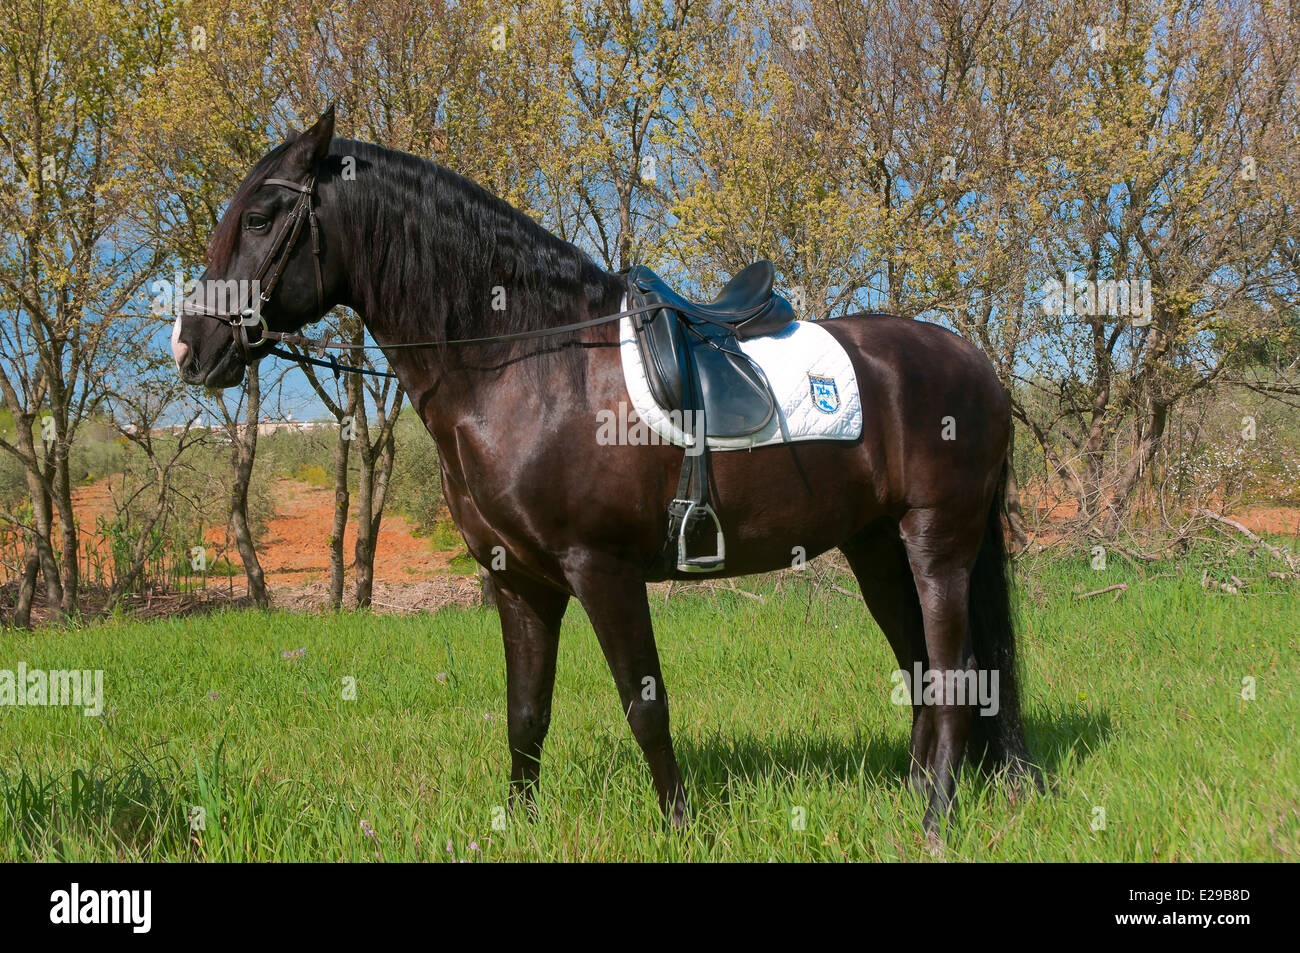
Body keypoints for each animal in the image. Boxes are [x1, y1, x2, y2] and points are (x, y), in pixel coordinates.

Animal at [175, 107, 1045, 826]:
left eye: (261, 216)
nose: (192, 347)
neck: (527, 363)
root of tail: (975, 361)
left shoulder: (602, 567)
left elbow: (645, 705)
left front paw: (682, 826)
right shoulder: (520, 580)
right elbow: (526, 711)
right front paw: (522, 827)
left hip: (938, 541)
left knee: (957, 669)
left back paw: (936, 816)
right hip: (873, 545)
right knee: (921, 664)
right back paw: (916, 795)